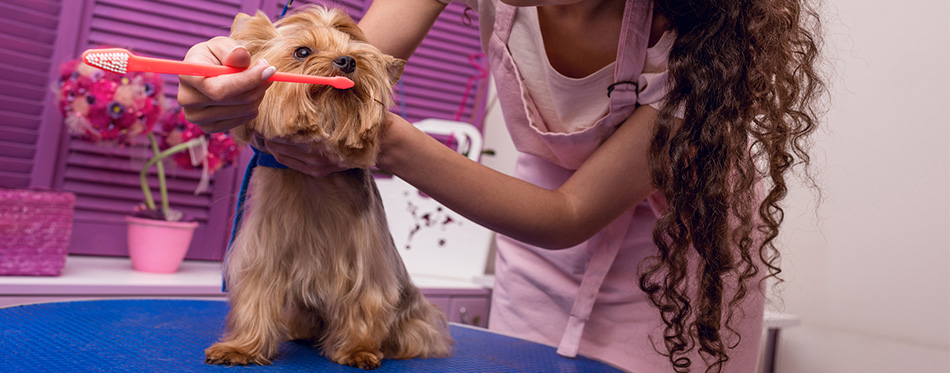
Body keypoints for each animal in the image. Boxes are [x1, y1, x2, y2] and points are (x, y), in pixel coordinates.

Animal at [207, 6, 458, 370]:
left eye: (356, 55)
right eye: (302, 52)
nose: (347, 61)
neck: (312, 182)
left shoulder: (366, 266)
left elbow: (364, 303)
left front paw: (358, 351)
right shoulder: (264, 256)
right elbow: (255, 300)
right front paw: (241, 348)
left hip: (413, 317)